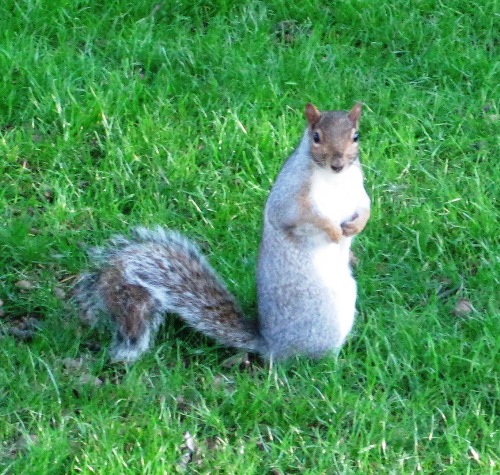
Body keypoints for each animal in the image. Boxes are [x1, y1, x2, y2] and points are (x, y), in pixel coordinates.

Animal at [73, 104, 372, 362]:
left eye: (356, 136)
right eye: (316, 137)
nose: (338, 163)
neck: (335, 179)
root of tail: (271, 345)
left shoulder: (357, 189)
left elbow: (365, 205)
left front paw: (356, 226)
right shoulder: (292, 197)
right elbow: (301, 218)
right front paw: (334, 232)